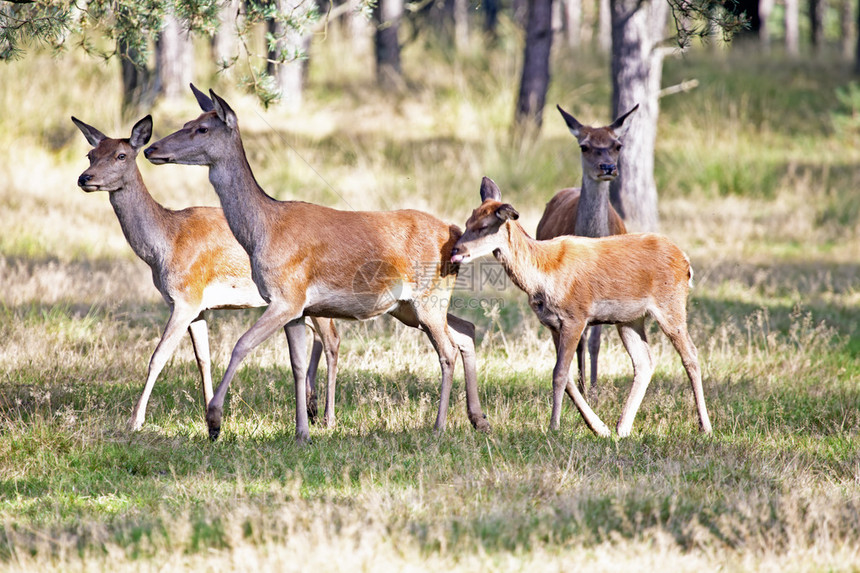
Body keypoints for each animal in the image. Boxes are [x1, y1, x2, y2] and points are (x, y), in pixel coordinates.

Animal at [71, 115, 340, 428]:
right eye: (90, 155)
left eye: (121, 155)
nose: (85, 178)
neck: (164, 246)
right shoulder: (197, 306)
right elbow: (203, 358)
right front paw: (208, 414)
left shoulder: (186, 297)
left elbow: (158, 356)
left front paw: (135, 421)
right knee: (319, 337)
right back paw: (311, 405)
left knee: (332, 340)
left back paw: (327, 417)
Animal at [144, 85, 488, 442]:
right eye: (188, 121)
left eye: (201, 128)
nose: (152, 148)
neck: (263, 232)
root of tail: (454, 232)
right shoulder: (297, 309)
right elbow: (295, 365)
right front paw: (301, 432)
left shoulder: (287, 296)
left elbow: (241, 345)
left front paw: (214, 421)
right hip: (409, 307)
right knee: (465, 330)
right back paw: (479, 419)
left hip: (427, 297)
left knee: (447, 350)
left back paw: (439, 426)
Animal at [450, 177, 712, 436]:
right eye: (467, 222)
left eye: (483, 226)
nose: (455, 250)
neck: (542, 275)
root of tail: (685, 261)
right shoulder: (552, 324)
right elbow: (566, 377)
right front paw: (599, 428)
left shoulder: (576, 316)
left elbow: (559, 373)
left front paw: (554, 427)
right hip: (629, 319)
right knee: (644, 362)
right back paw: (622, 427)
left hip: (671, 304)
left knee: (690, 355)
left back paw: (705, 426)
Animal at [536, 104, 640, 398]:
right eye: (585, 146)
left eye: (617, 145)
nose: (608, 167)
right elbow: (580, 339)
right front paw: (582, 386)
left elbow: (595, 341)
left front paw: (594, 386)